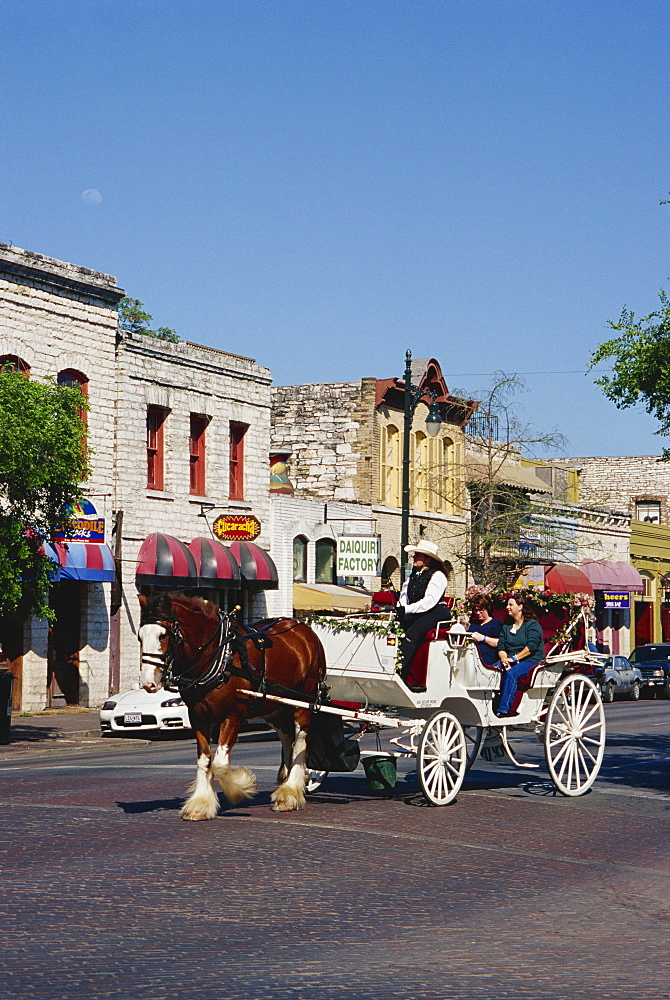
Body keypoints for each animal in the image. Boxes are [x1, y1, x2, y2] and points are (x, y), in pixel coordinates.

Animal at [138, 592, 326, 820]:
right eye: (140, 636)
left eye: (163, 636)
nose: (147, 683)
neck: (219, 657)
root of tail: (305, 630)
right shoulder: (198, 716)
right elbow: (204, 759)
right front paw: (200, 805)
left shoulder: (232, 716)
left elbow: (219, 763)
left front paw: (242, 786)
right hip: (276, 707)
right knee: (288, 740)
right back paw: (288, 785)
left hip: (304, 702)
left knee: (299, 742)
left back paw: (290, 794)